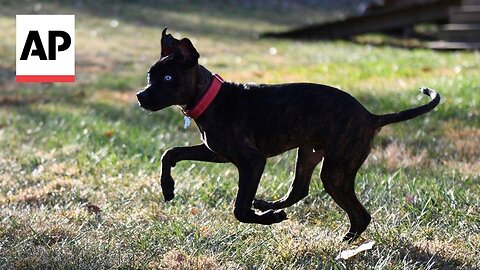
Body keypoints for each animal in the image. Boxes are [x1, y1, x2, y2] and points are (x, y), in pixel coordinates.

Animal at [137, 28, 440, 243]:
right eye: (150, 76)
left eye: (168, 78)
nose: (140, 96)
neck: (212, 99)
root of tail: (371, 116)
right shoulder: (216, 152)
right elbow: (170, 153)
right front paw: (167, 187)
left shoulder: (251, 162)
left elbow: (240, 210)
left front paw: (269, 220)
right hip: (310, 154)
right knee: (299, 190)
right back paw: (270, 205)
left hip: (336, 170)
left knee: (360, 214)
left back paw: (342, 241)